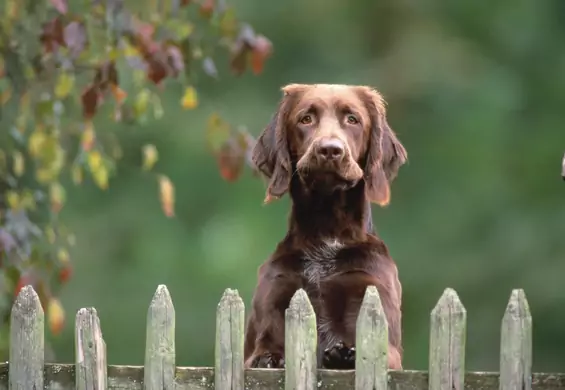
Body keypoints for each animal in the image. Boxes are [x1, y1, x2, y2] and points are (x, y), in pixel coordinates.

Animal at [242, 84, 406, 370]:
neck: (326, 233)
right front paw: (269, 357)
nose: (330, 150)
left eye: (352, 119)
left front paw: (344, 355)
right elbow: (263, 348)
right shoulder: (276, 294)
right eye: (306, 119)